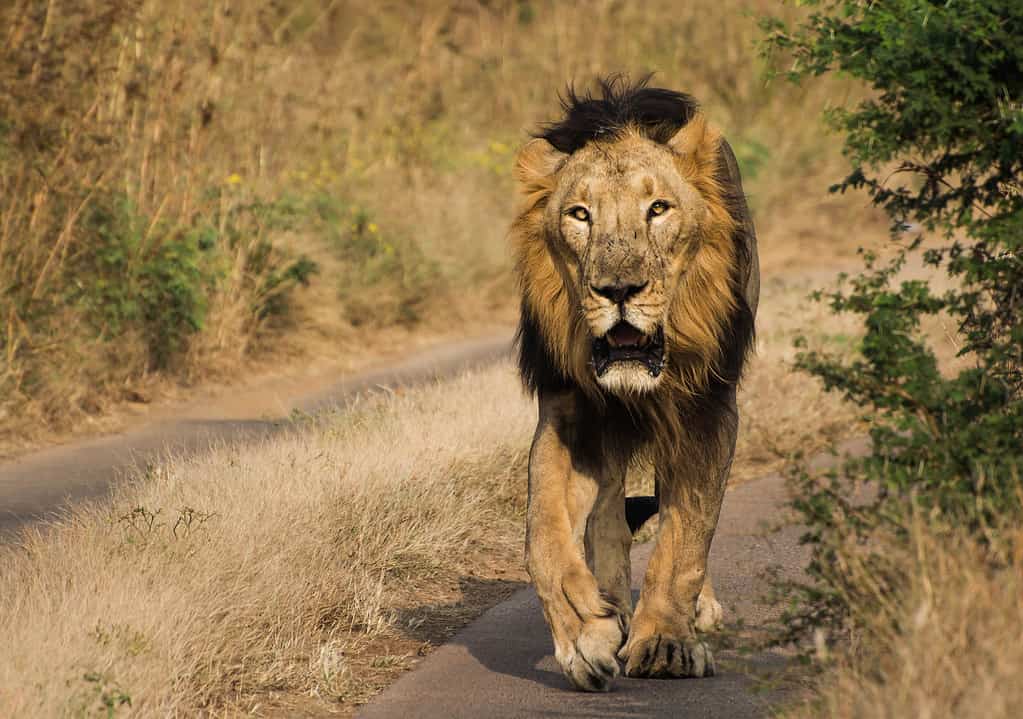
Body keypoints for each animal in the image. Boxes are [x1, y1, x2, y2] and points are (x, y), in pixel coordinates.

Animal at [511, 77, 759, 692]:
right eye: (579, 214)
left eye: (658, 209)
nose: (618, 290)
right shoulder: (569, 408)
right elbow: (543, 536)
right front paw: (585, 636)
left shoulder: (707, 409)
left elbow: (687, 533)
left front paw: (667, 641)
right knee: (606, 516)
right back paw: (613, 601)